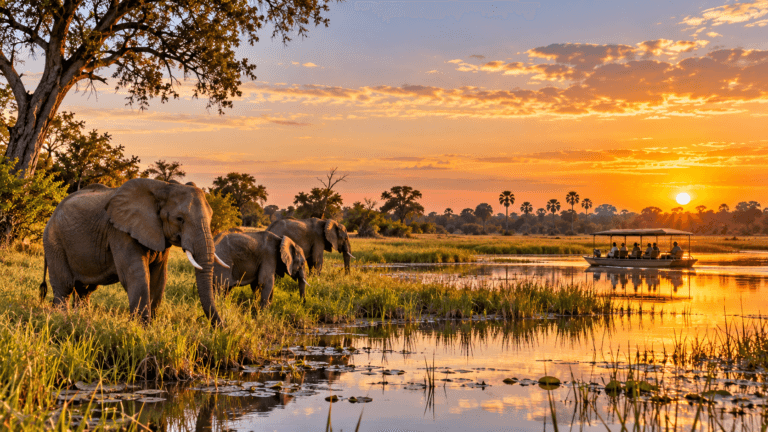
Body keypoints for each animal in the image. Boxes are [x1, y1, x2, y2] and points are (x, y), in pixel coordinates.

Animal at [40, 178, 230, 325]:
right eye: (179, 219)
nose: (221, 327)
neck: (163, 187)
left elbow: (159, 277)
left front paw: (151, 325)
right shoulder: (119, 231)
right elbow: (135, 274)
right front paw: (141, 326)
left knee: (85, 289)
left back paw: (81, 317)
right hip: (53, 240)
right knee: (65, 285)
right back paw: (61, 318)